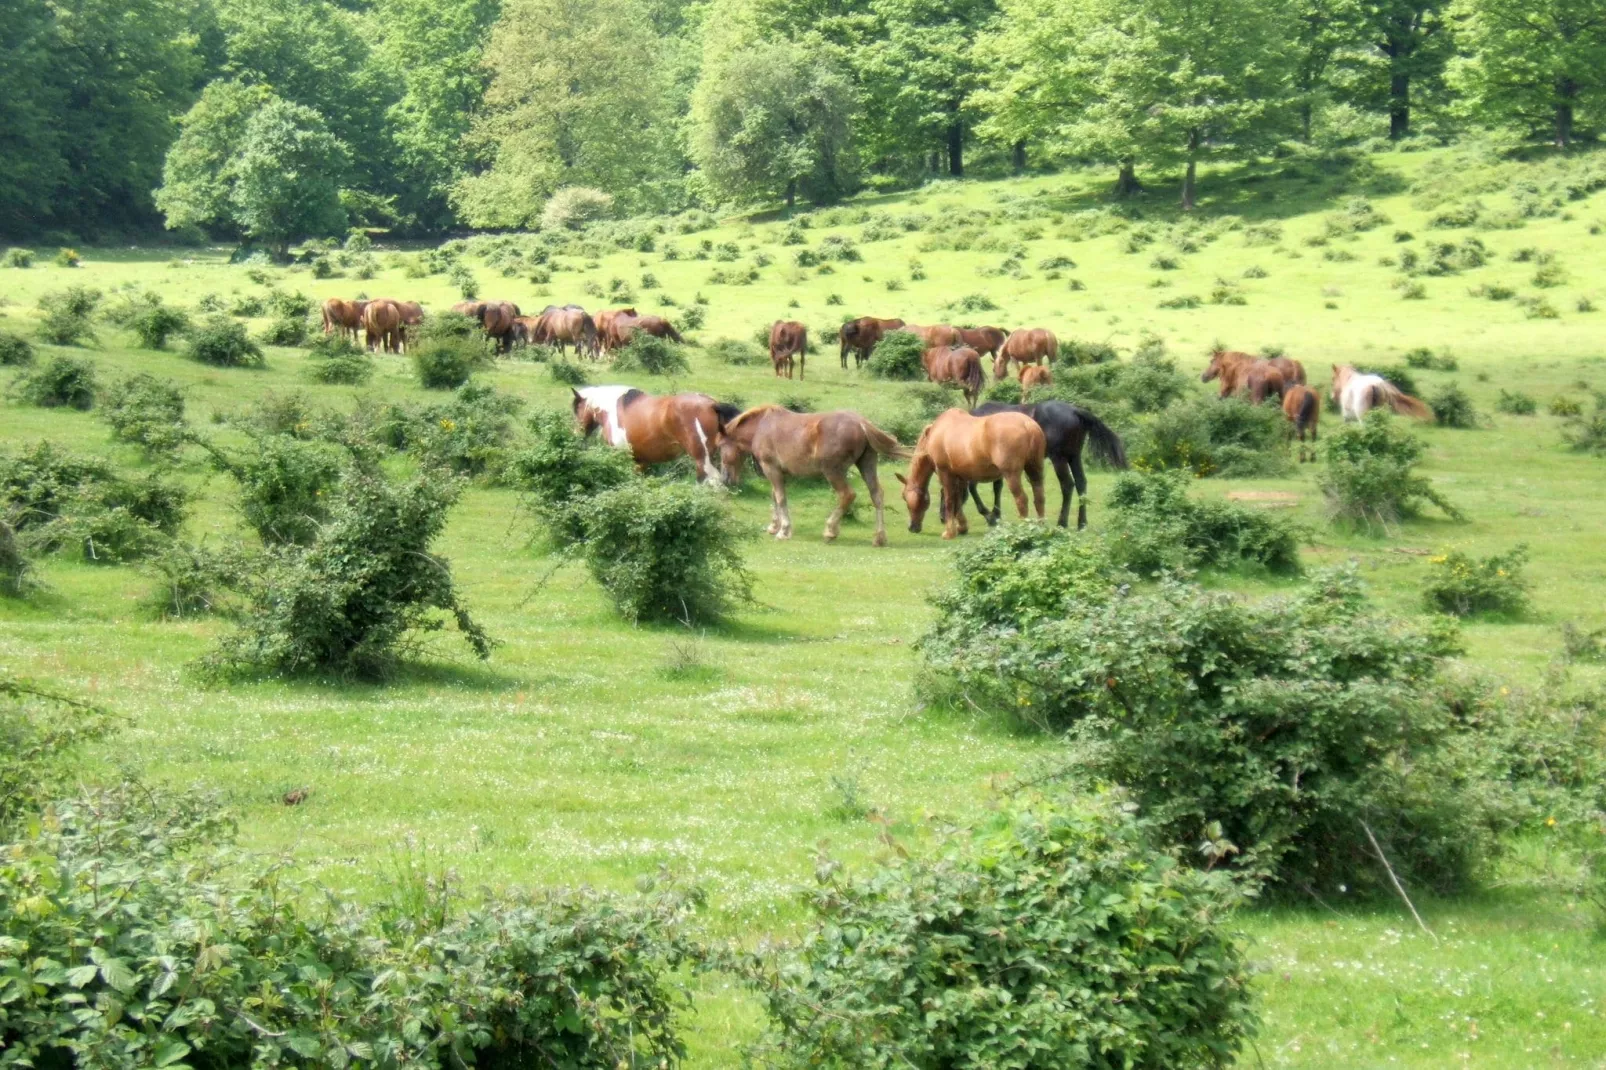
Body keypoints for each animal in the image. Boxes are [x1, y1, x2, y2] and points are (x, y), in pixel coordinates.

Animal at [571, 385, 738, 481]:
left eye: (577, 410)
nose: (575, 435)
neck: (614, 409)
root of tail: (712, 405)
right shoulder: (640, 461)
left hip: (702, 460)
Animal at [716, 404, 905, 546]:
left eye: (720, 447)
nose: (725, 479)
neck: (761, 427)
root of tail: (861, 423)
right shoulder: (780, 473)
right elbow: (775, 496)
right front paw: (774, 526)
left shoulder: (772, 469)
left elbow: (780, 498)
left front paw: (783, 531)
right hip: (866, 464)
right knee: (877, 495)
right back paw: (879, 537)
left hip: (833, 472)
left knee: (847, 495)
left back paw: (830, 530)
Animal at [899, 409, 1047, 543]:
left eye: (905, 499)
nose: (912, 527)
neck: (935, 433)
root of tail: (1028, 424)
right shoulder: (960, 476)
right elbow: (958, 499)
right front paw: (962, 527)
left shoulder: (945, 473)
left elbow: (950, 500)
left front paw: (949, 532)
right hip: (1035, 471)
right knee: (1039, 497)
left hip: (1011, 475)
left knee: (1021, 500)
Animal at [963, 400, 1130, 530]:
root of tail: (1075, 411)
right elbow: (996, 487)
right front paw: (996, 515)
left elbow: (973, 487)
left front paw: (990, 516)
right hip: (1074, 457)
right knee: (1081, 483)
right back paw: (1081, 523)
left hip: (1059, 458)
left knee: (1067, 484)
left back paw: (1062, 522)